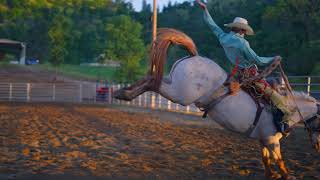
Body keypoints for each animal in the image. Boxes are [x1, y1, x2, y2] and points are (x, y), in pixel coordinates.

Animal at [115, 28, 320, 179]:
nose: (317, 146)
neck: (287, 109)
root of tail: (194, 56)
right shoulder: (271, 140)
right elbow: (280, 163)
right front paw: (287, 175)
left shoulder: (263, 140)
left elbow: (266, 162)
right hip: (181, 95)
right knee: (153, 83)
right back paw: (125, 94)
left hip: (172, 82)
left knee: (152, 78)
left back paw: (122, 92)